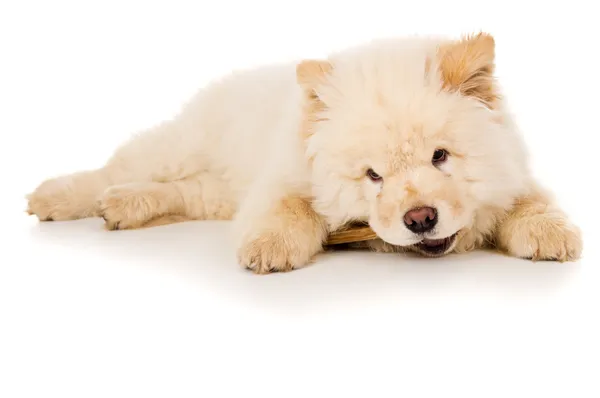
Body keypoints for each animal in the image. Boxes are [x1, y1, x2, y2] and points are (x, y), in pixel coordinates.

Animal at [27, 32, 580, 274]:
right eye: (373, 176)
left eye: (441, 156)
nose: (420, 218)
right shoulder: (280, 181)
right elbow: (292, 209)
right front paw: (270, 248)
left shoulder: (517, 175)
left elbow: (531, 202)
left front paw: (552, 234)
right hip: (178, 146)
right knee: (115, 168)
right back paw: (56, 197)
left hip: (214, 192)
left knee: (181, 193)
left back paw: (124, 206)